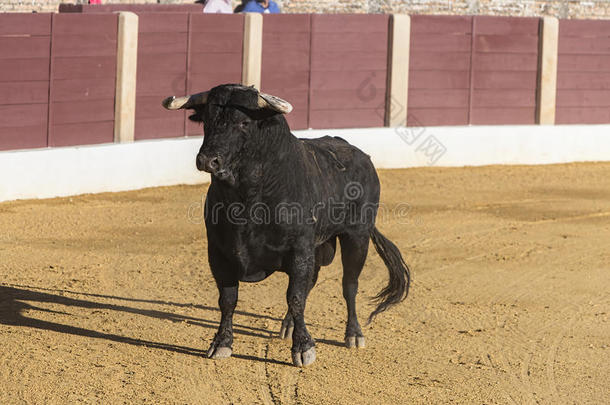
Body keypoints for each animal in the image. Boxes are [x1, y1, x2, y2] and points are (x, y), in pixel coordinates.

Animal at [162, 83, 410, 364]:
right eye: (206, 120)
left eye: (244, 122)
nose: (207, 160)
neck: (247, 198)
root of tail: (363, 158)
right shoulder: (218, 252)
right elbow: (228, 298)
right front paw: (221, 343)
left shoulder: (299, 250)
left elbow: (296, 297)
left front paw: (303, 348)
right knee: (312, 282)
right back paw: (289, 326)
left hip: (356, 237)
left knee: (349, 285)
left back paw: (353, 334)